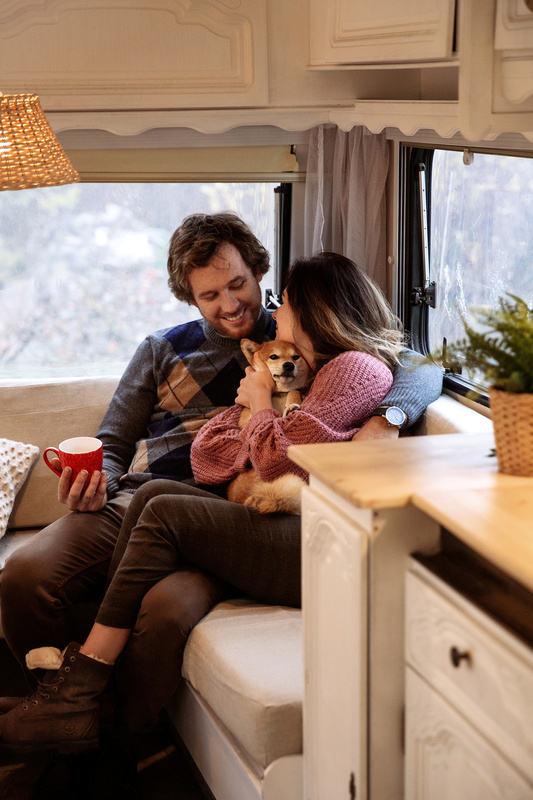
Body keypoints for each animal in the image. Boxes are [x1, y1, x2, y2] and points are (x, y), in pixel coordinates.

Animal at [228, 336, 312, 512]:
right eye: (274, 356)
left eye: (296, 357)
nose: (289, 365)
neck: (280, 394)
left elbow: (294, 391)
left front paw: (292, 405)